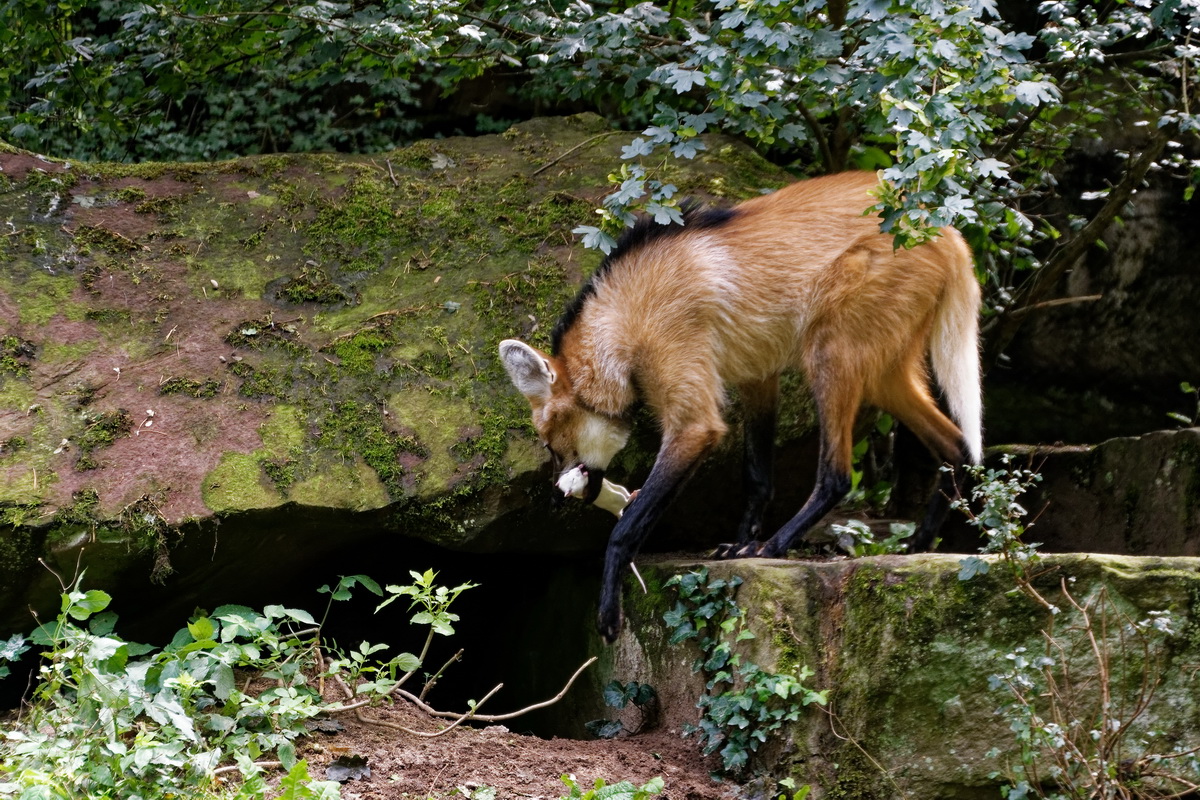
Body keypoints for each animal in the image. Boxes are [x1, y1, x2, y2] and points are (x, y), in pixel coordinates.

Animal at [501, 170, 979, 642]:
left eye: (551, 445)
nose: (557, 501)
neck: (623, 323)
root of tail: (944, 227)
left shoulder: (693, 418)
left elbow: (627, 524)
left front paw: (607, 611)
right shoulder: (757, 376)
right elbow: (756, 474)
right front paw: (741, 543)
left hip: (829, 352)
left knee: (838, 476)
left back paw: (780, 544)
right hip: (882, 376)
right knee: (956, 445)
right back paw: (920, 542)